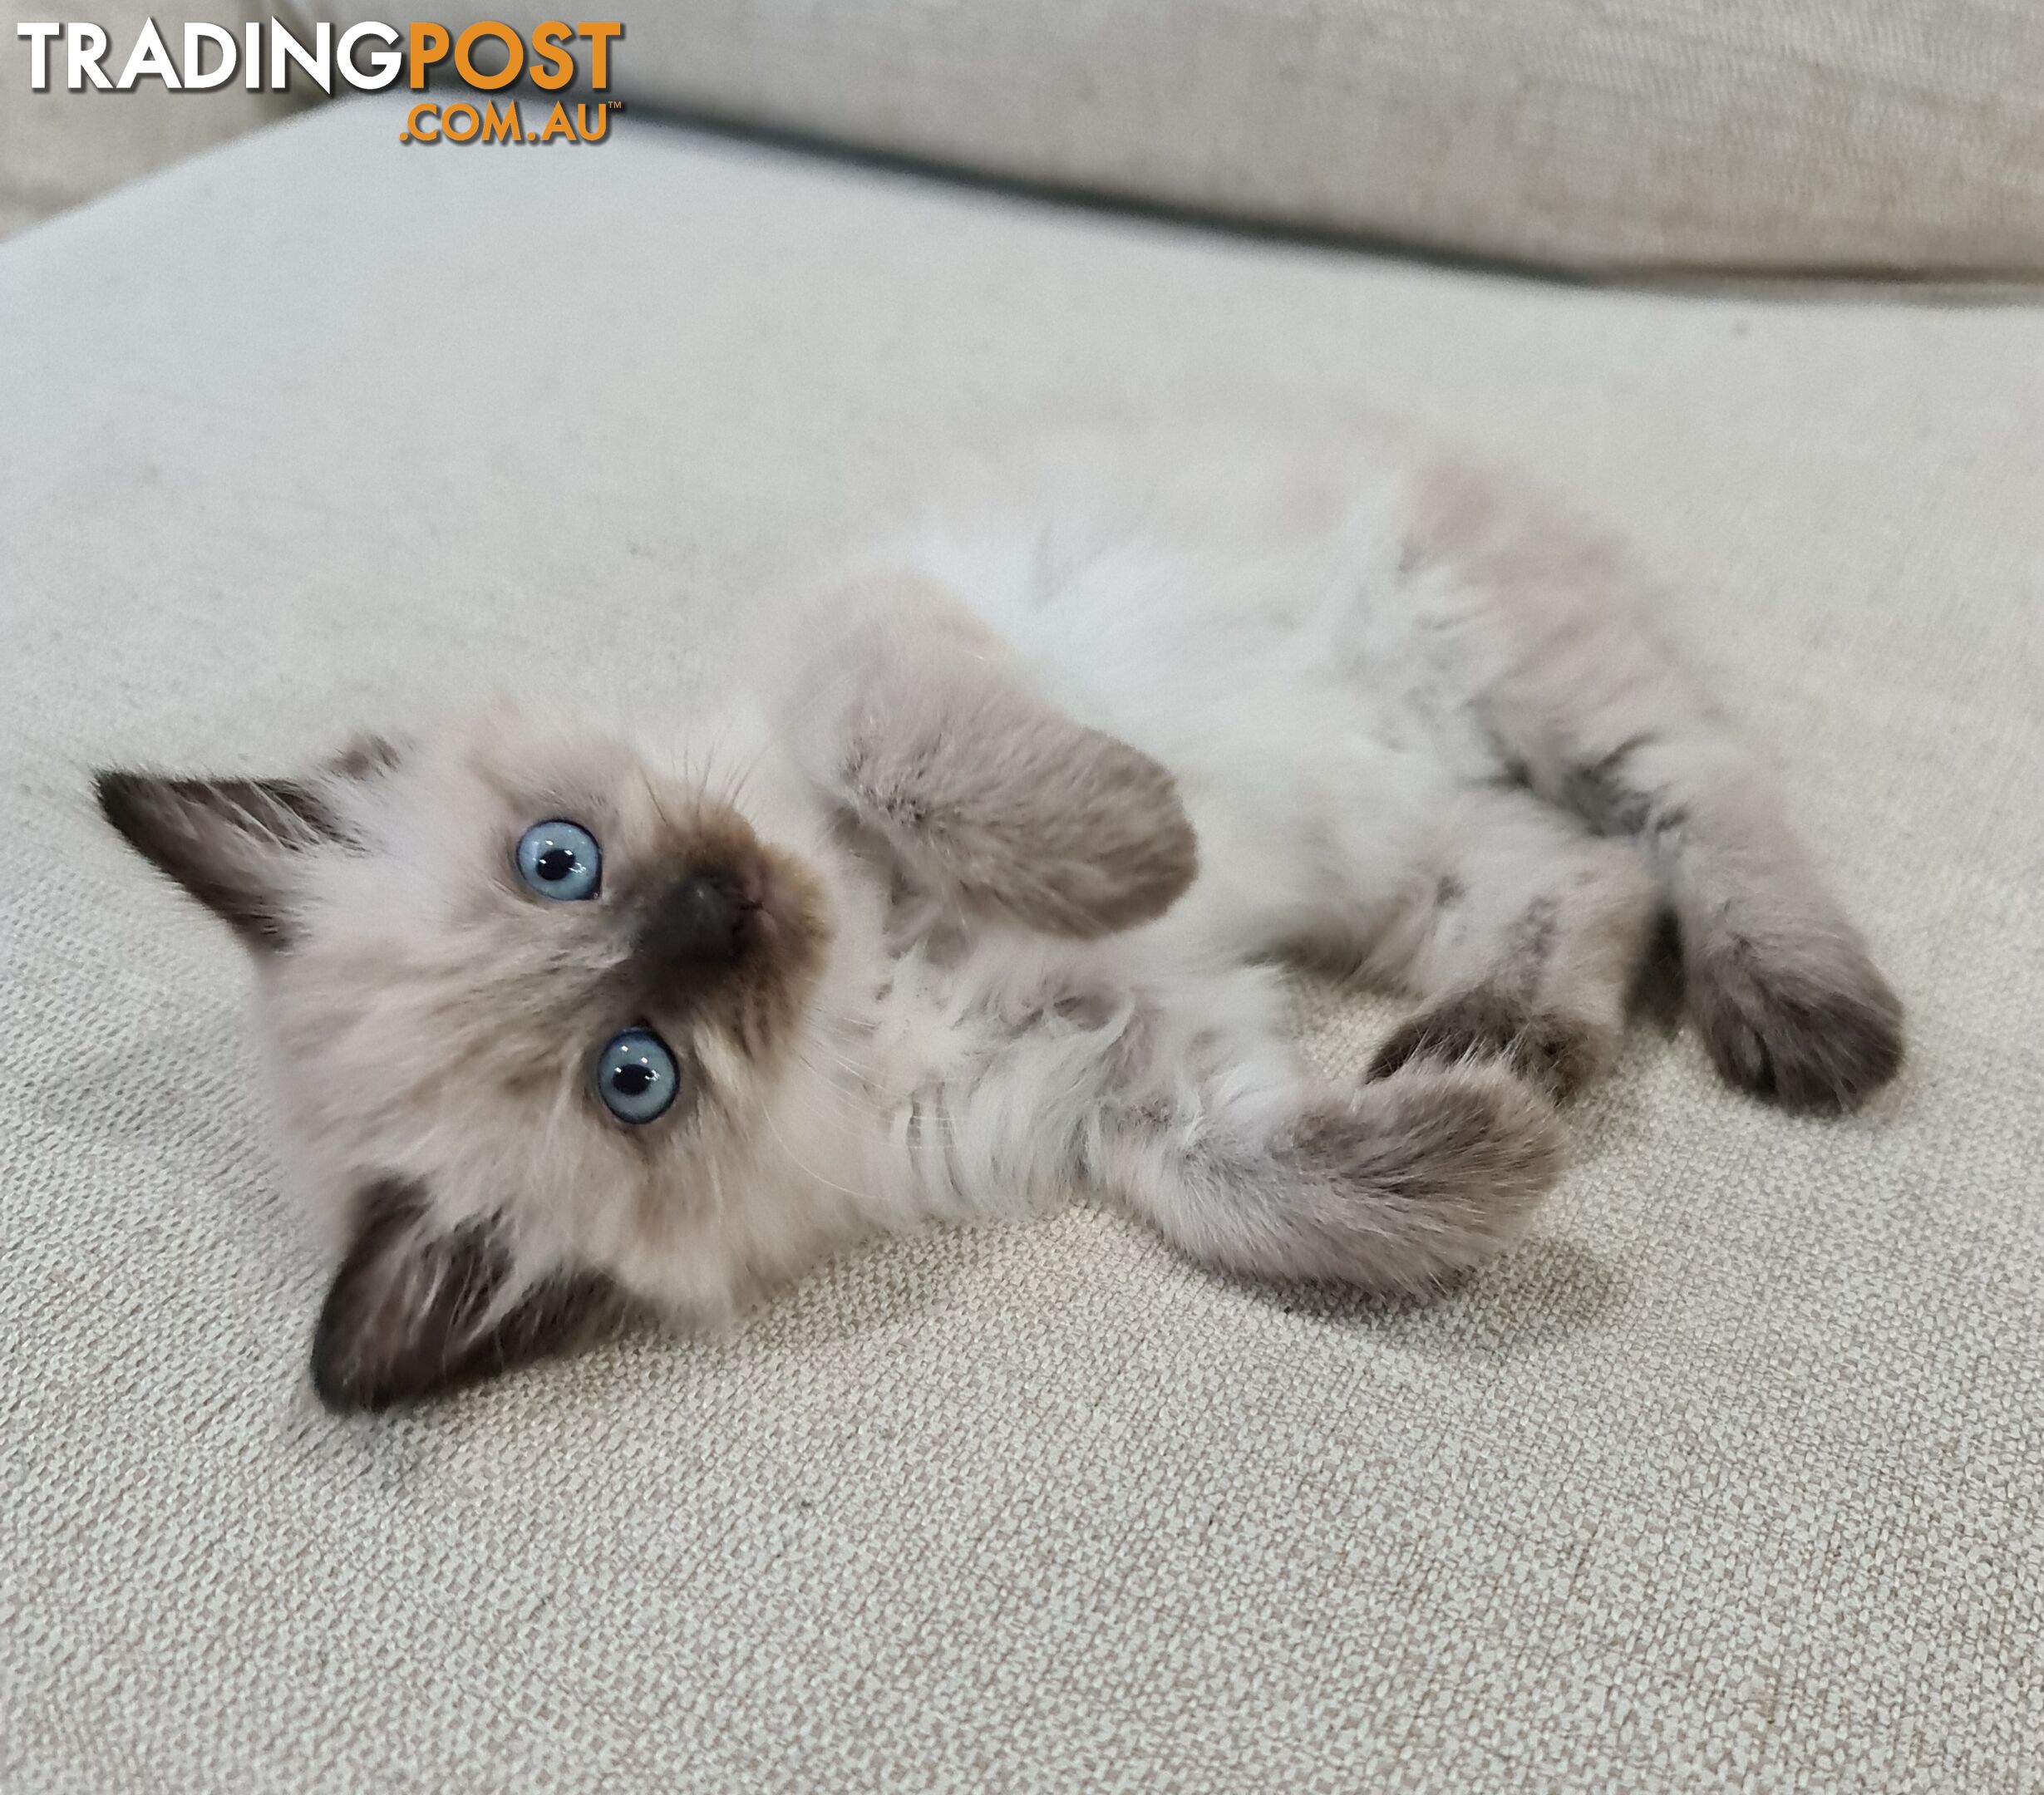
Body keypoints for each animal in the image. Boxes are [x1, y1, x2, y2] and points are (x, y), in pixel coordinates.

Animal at [103, 429, 1904, 1414]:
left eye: (560, 859)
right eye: (635, 1073)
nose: (718, 908)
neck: (875, 961)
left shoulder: (876, 675)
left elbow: (945, 774)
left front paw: (1143, 844)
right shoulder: (1138, 1078)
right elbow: (1270, 1199)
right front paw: (1491, 1152)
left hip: (1521, 686)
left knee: (1691, 809)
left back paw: (1806, 1023)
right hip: (1423, 854)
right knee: (1592, 878)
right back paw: (1512, 1050)